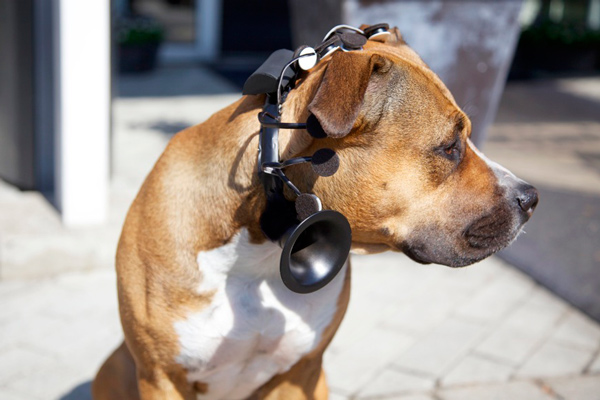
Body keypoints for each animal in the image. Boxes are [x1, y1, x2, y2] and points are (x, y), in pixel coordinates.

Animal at [94, 26, 540, 398]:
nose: (531, 197)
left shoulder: (301, 372)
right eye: (449, 147)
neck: (260, 248)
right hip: (116, 367)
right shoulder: (162, 377)